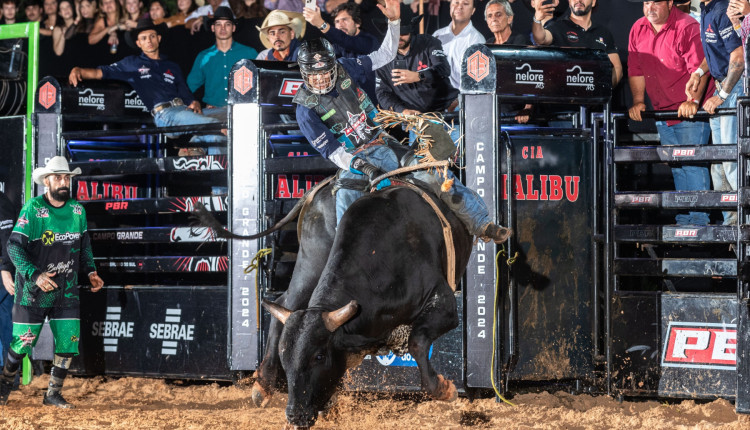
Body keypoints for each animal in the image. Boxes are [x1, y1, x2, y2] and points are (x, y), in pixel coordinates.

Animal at [197, 179, 472, 426]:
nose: (295, 415)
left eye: (319, 356)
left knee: (287, 302)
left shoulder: (444, 304)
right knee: (288, 302)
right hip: (312, 261)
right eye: (285, 357)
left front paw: (444, 389)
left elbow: (417, 340)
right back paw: (263, 385)